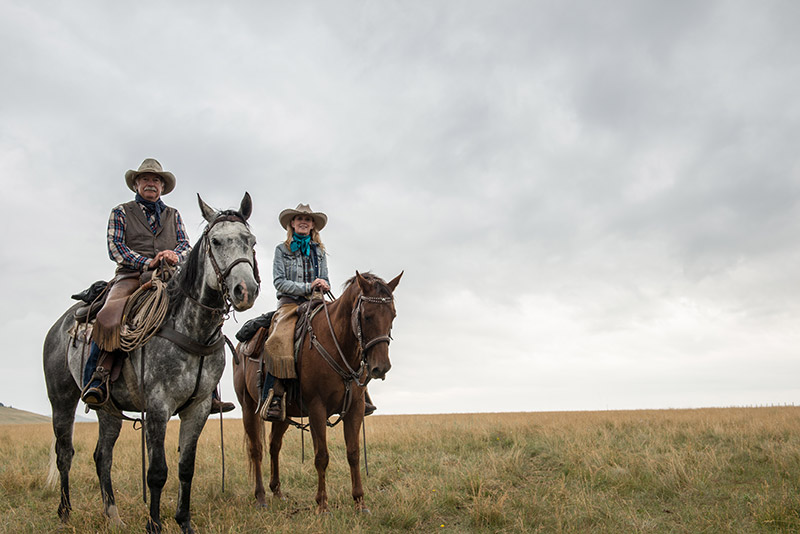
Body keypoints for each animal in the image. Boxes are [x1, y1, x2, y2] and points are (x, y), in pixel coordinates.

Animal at [43, 195, 260, 532]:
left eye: (251, 241)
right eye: (216, 241)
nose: (245, 290)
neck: (190, 327)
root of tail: (60, 325)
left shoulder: (198, 409)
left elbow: (186, 468)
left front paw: (184, 522)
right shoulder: (158, 407)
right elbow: (157, 471)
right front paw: (154, 524)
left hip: (108, 410)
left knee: (102, 456)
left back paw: (113, 514)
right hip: (61, 399)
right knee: (65, 453)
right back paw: (65, 512)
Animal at [234, 272, 404, 516]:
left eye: (393, 315)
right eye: (367, 316)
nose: (380, 368)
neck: (337, 344)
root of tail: (241, 346)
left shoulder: (355, 408)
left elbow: (353, 453)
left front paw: (360, 503)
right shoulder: (317, 409)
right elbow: (321, 456)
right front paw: (322, 505)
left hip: (284, 415)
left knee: (274, 446)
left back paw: (277, 492)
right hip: (248, 407)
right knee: (256, 449)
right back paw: (261, 497)